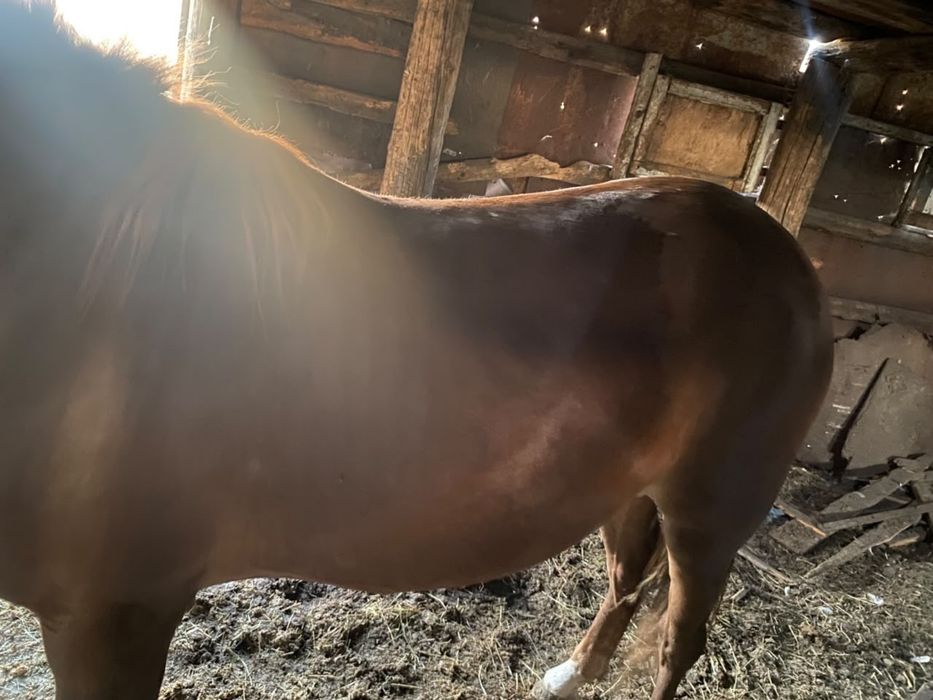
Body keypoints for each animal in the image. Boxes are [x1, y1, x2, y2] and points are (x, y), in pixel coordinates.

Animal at [0, 3, 833, 698]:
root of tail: (794, 267)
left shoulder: (117, 612)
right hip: (633, 490)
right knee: (625, 583)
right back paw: (568, 676)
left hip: (709, 515)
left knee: (677, 640)